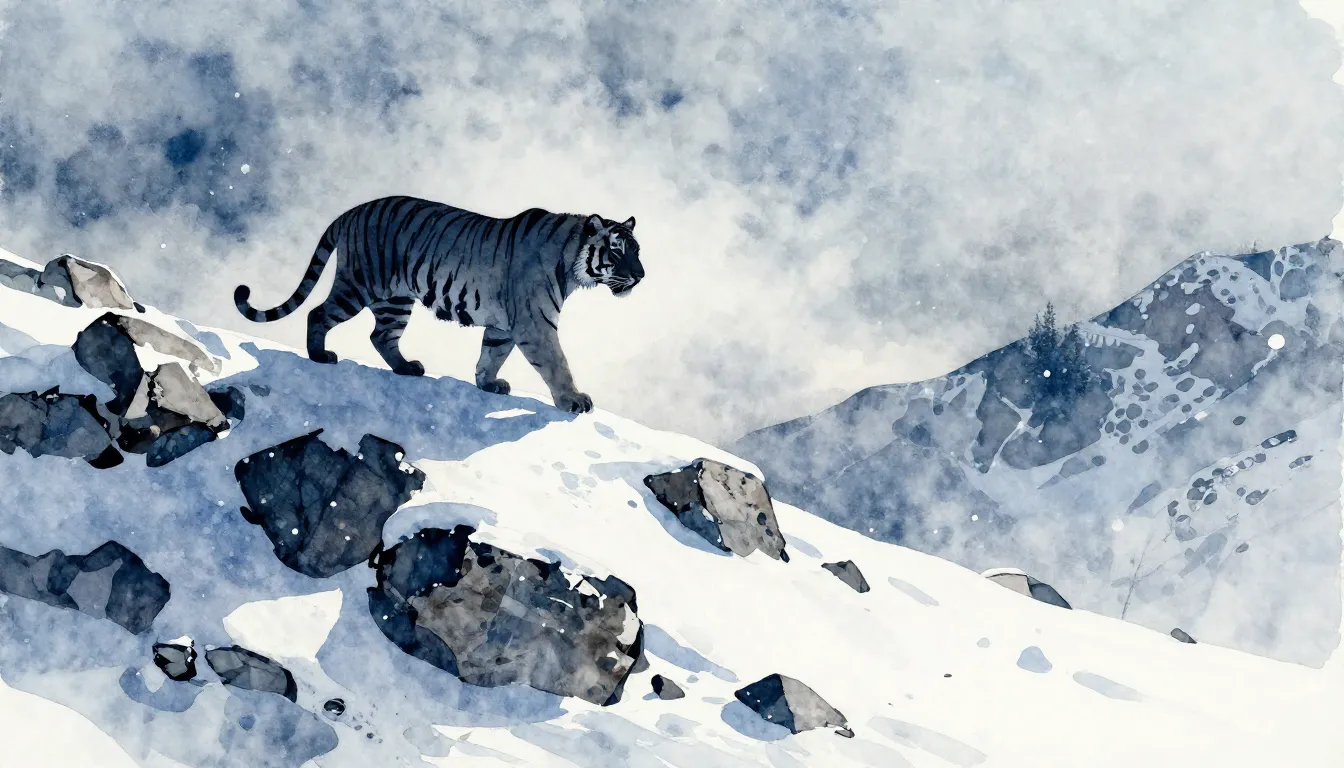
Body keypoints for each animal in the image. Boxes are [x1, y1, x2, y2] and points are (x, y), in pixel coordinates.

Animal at [234, 196, 643, 414]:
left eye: (637, 250)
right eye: (617, 251)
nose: (640, 276)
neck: (571, 264)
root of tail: (352, 210)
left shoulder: (503, 325)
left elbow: (491, 355)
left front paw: (487, 384)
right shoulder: (535, 324)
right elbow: (557, 364)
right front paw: (573, 400)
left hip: (395, 300)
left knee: (381, 336)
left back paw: (407, 368)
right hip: (360, 284)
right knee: (319, 313)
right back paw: (320, 356)